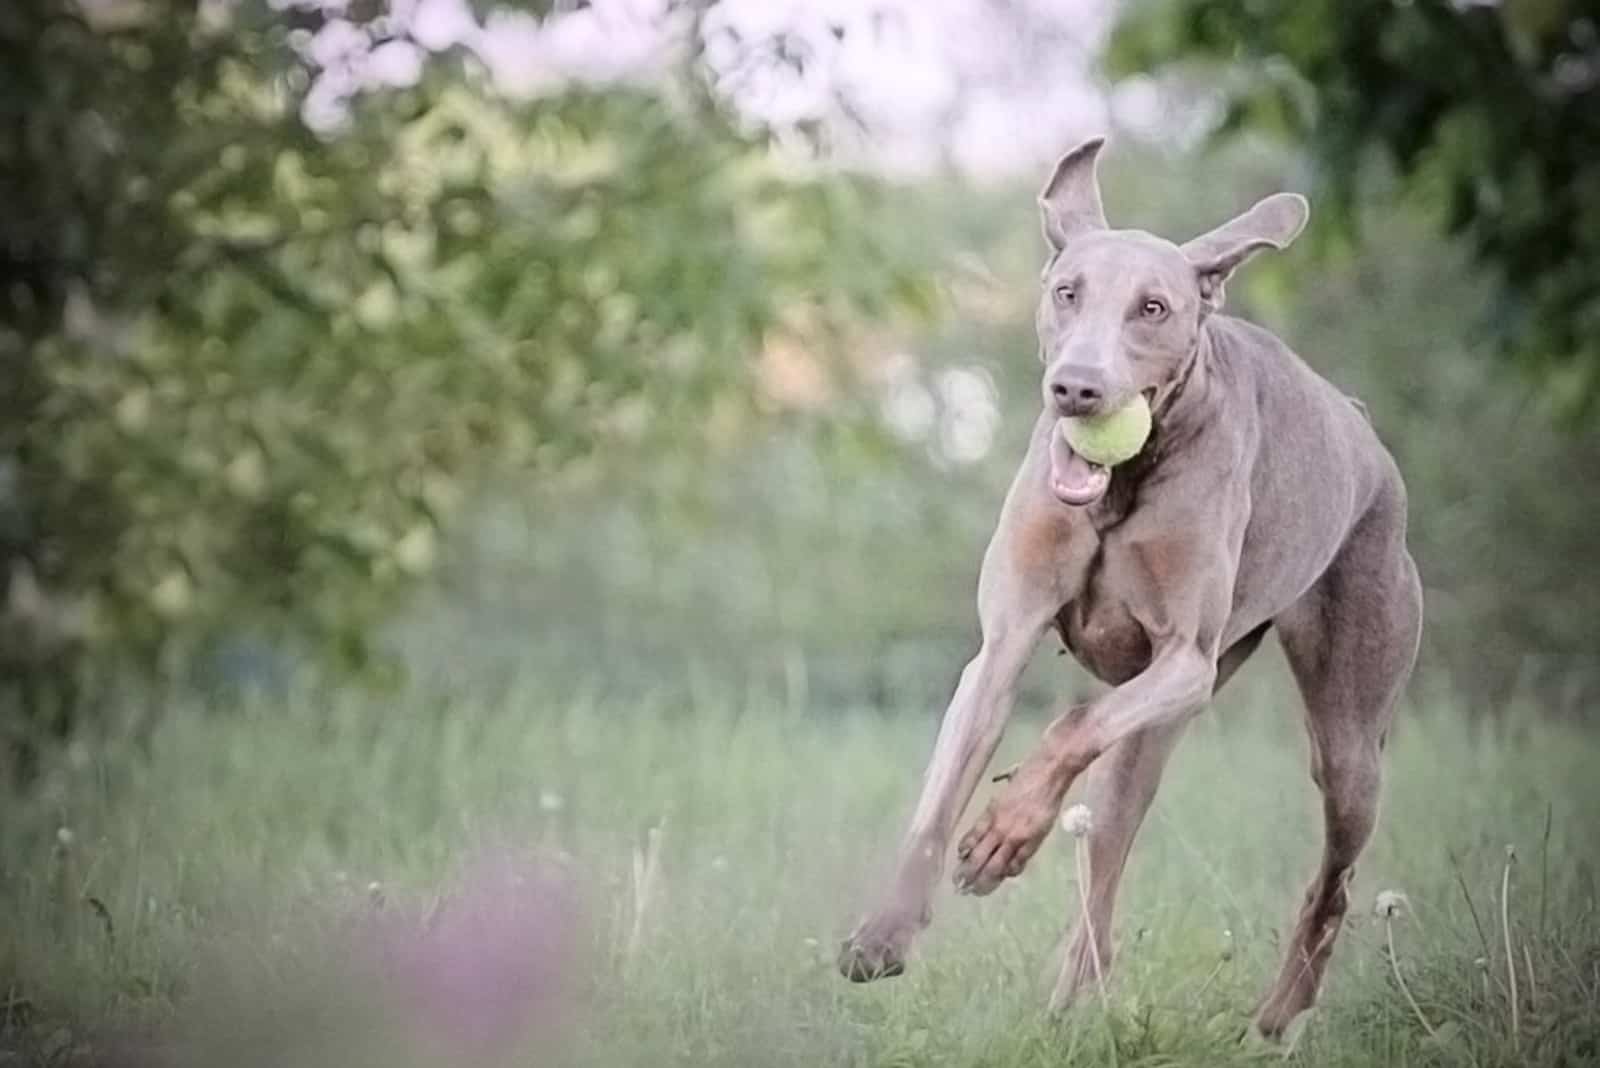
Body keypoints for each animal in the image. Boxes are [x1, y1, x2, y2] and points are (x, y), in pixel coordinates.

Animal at [838, 137, 1427, 1036]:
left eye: (1152, 308)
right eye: (1066, 292)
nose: (1078, 387)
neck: (1118, 488)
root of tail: (1365, 434)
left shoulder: (1184, 660)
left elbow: (1073, 723)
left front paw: (1005, 833)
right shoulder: (1001, 647)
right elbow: (938, 803)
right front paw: (884, 934)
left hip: (1348, 738)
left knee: (1335, 879)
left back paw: (1278, 1014)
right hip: (1152, 751)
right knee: (1106, 879)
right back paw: (1071, 1007)